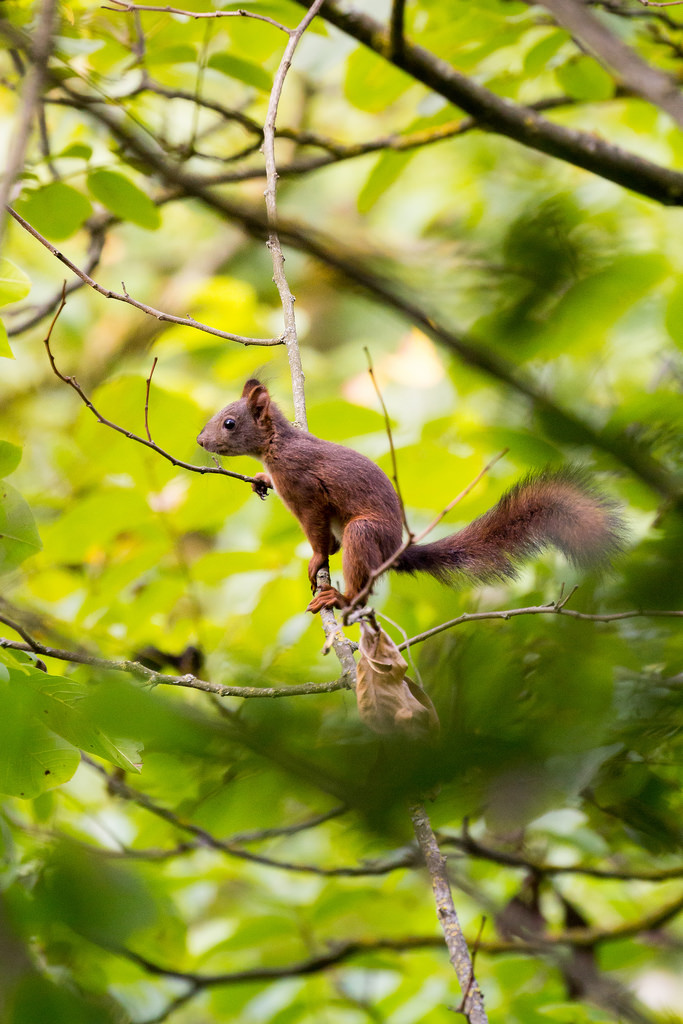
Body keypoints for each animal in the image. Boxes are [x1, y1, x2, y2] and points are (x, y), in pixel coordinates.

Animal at [197, 379, 624, 614]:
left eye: (229, 423)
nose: (200, 440)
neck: (277, 444)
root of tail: (395, 550)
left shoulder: (307, 489)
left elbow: (318, 533)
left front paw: (317, 558)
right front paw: (259, 478)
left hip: (364, 533)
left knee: (358, 582)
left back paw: (340, 599)